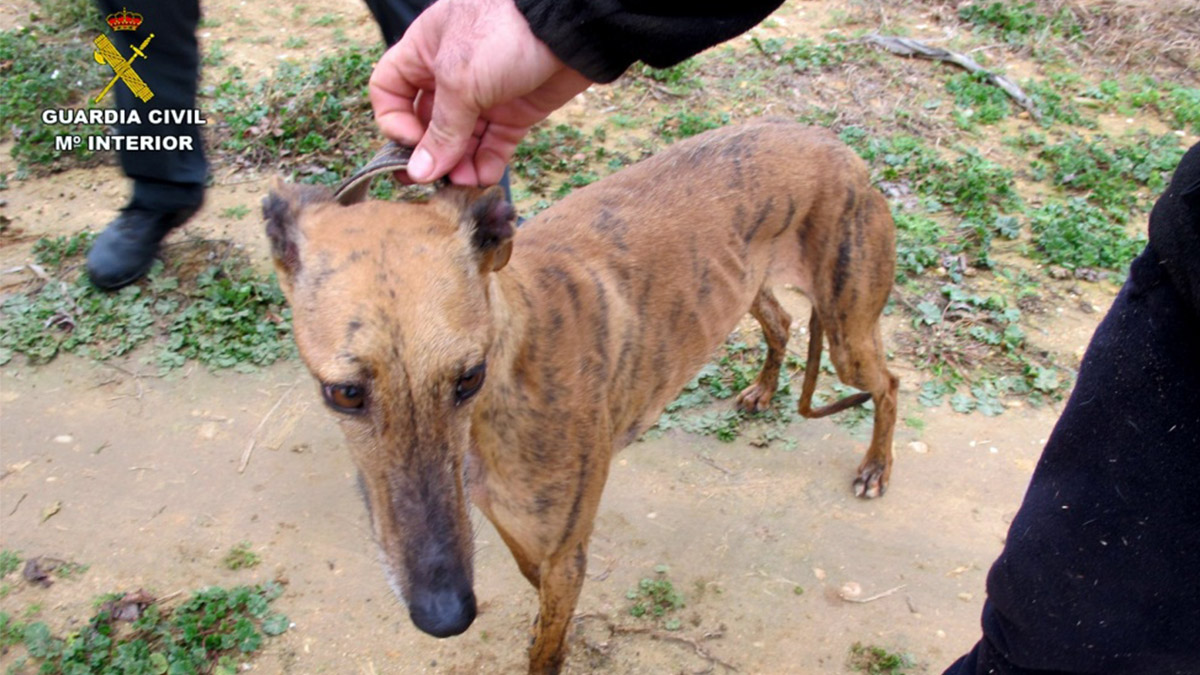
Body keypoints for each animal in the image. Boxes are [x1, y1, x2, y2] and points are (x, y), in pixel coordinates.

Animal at [265, 118, 902, 667]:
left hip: (847, 332)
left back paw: (875, 467)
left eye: (469, 376)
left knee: (889, 383)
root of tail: (834, 145)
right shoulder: (511, 525)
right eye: (344, 393)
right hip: (749, 285)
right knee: (780, 320)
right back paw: (765, 390)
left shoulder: (565, 552)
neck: (510, 370)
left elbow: (547, 649)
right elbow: (535, 590)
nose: (446, 614)